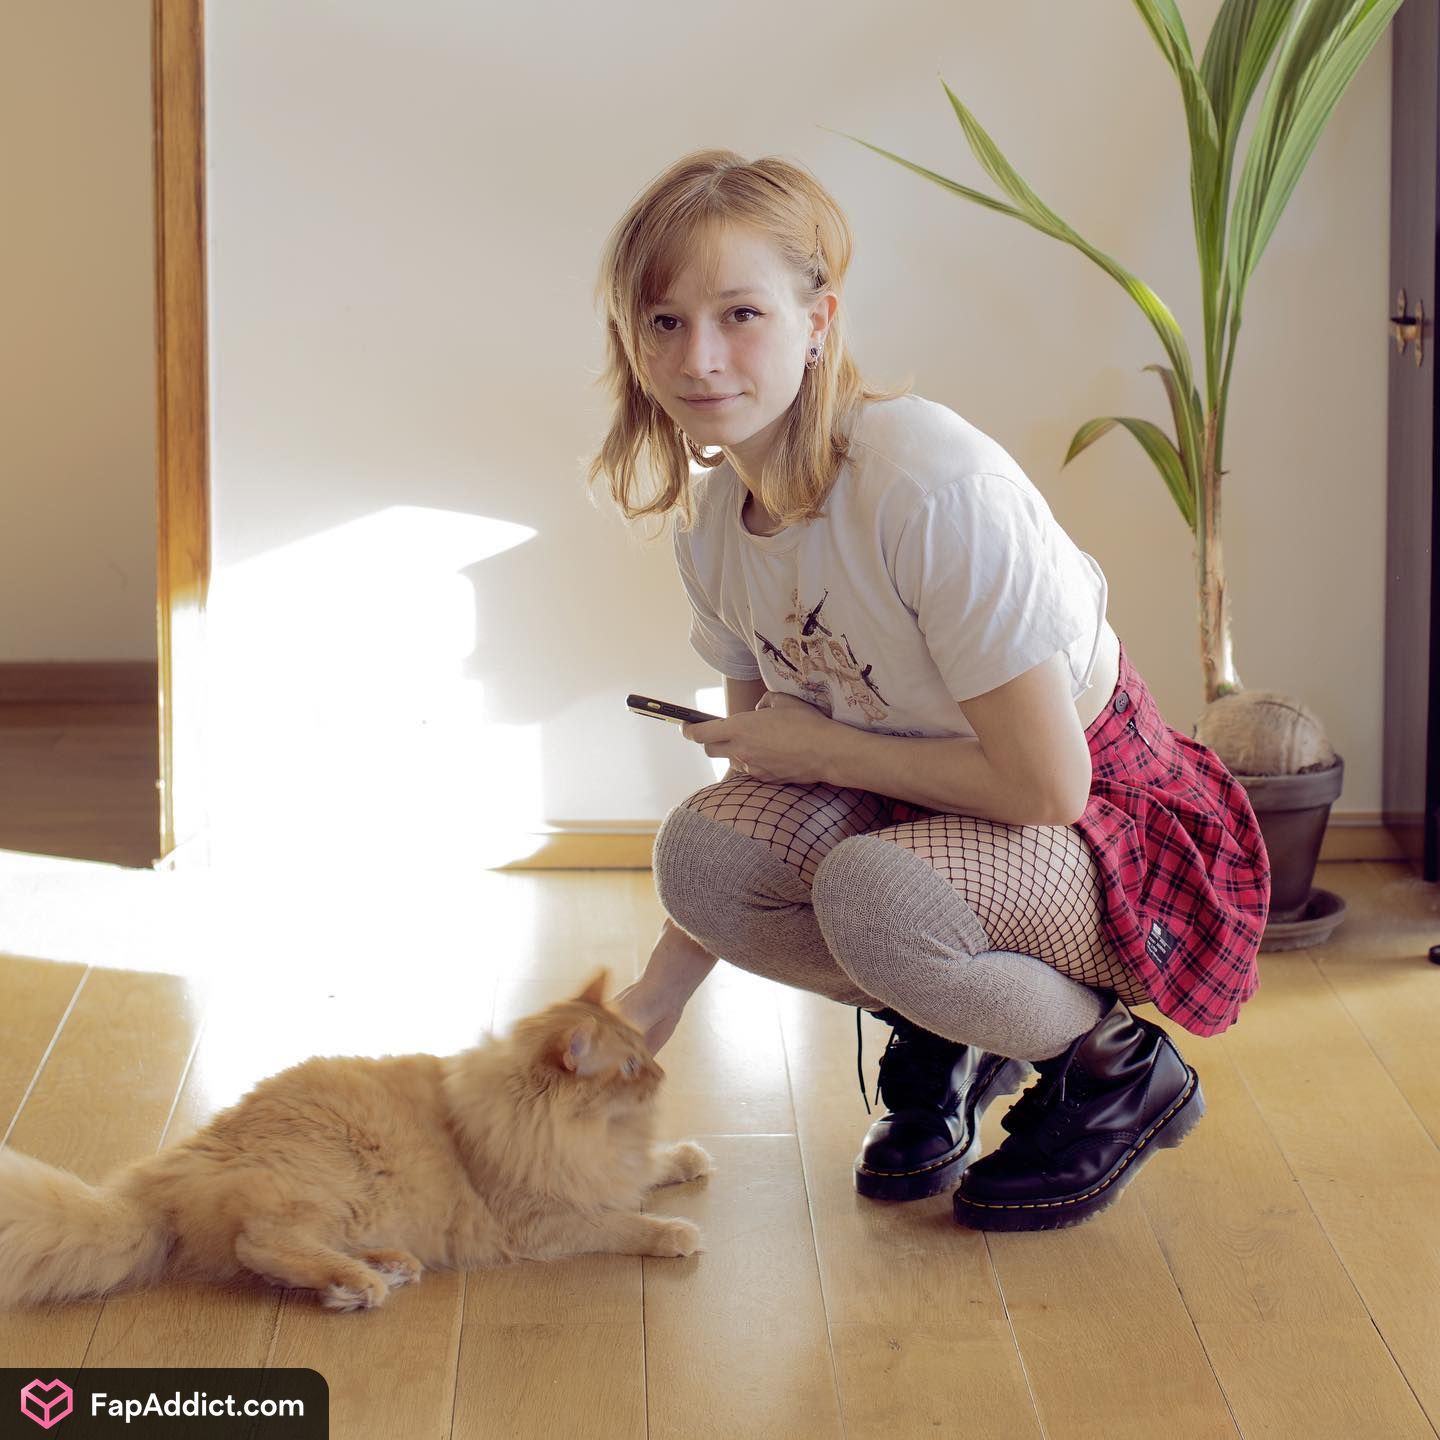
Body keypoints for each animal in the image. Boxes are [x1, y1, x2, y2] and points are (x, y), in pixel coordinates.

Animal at [0, 967, 713, 1312]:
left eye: (644, 1052)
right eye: (630, 1067)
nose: (661, 1074)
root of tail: (172, 1168)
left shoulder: (605, 1169)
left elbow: (651, 1167)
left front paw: (686, 1156)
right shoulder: (545, 1218)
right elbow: (621, 1223)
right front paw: (675, 1233)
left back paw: (382, 1270)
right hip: (346, 1179)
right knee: (261, 1244)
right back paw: (364, 1286)